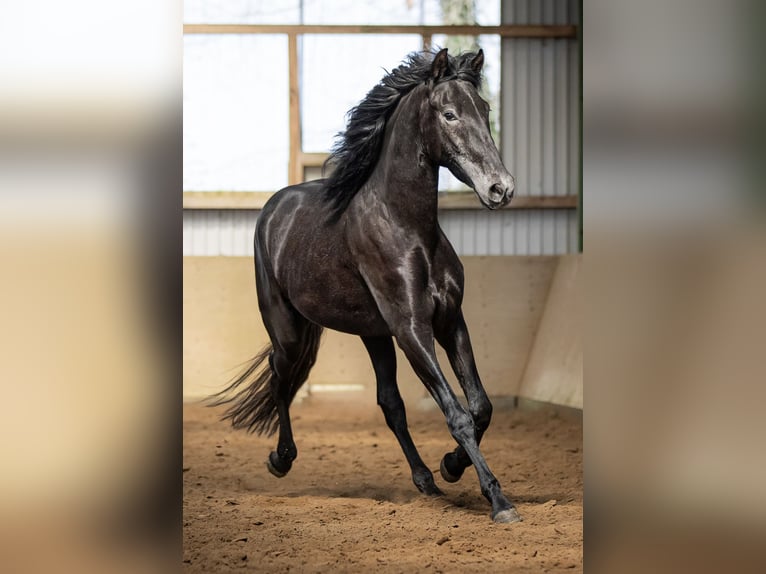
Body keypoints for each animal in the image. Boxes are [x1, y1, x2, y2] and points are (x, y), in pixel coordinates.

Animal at [213, 50, 520, 528]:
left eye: (485, 110)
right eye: (449, 114)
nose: (500, 188)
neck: (408, 227)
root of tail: (274, 207)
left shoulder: (450, 322)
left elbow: (480, 406)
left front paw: (451, 467)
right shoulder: (412, 330)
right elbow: (457, 414)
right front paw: (498, 500)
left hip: (373, 334)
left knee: (389, 403)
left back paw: (425, 479)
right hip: (288, 330)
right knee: (282, 379)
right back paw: (281, 460)